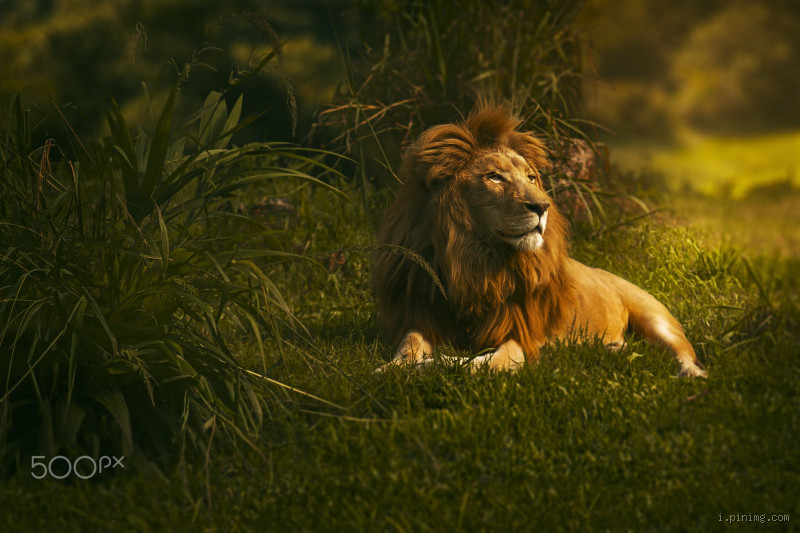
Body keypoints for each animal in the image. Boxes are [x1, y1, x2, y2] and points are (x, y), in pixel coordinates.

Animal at [372, 108, 707, 378]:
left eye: (531, 178)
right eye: (494, 177)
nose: (543, 206)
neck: (472, 260)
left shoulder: (521, 334)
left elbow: (487, 364)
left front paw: (438, 364)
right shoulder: (424, 315)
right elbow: (408, 345)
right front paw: (391, 369)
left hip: (656, 319)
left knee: (683, 350)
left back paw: (692, 374)